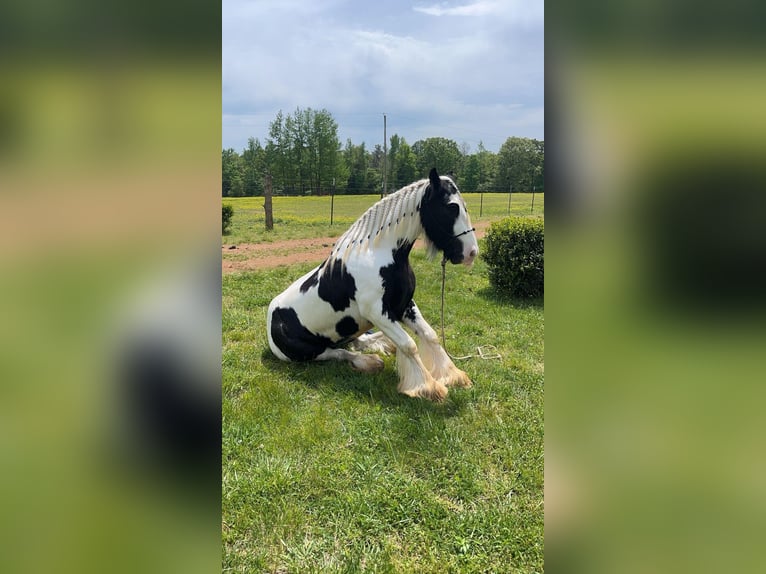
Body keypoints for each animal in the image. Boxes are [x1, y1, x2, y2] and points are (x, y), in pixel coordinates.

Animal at [268, 168, 476, 400]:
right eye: (452, 207)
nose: (471, 252)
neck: (379, 254)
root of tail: (271, 321)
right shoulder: (378, 312)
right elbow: (409, 345)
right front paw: (427, 387)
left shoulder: (405, 306)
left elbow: (430, 335)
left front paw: (452, 376)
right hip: (310, 352)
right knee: (339, 353)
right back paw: (370, 362)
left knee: (358, 342)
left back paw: (382, 346)